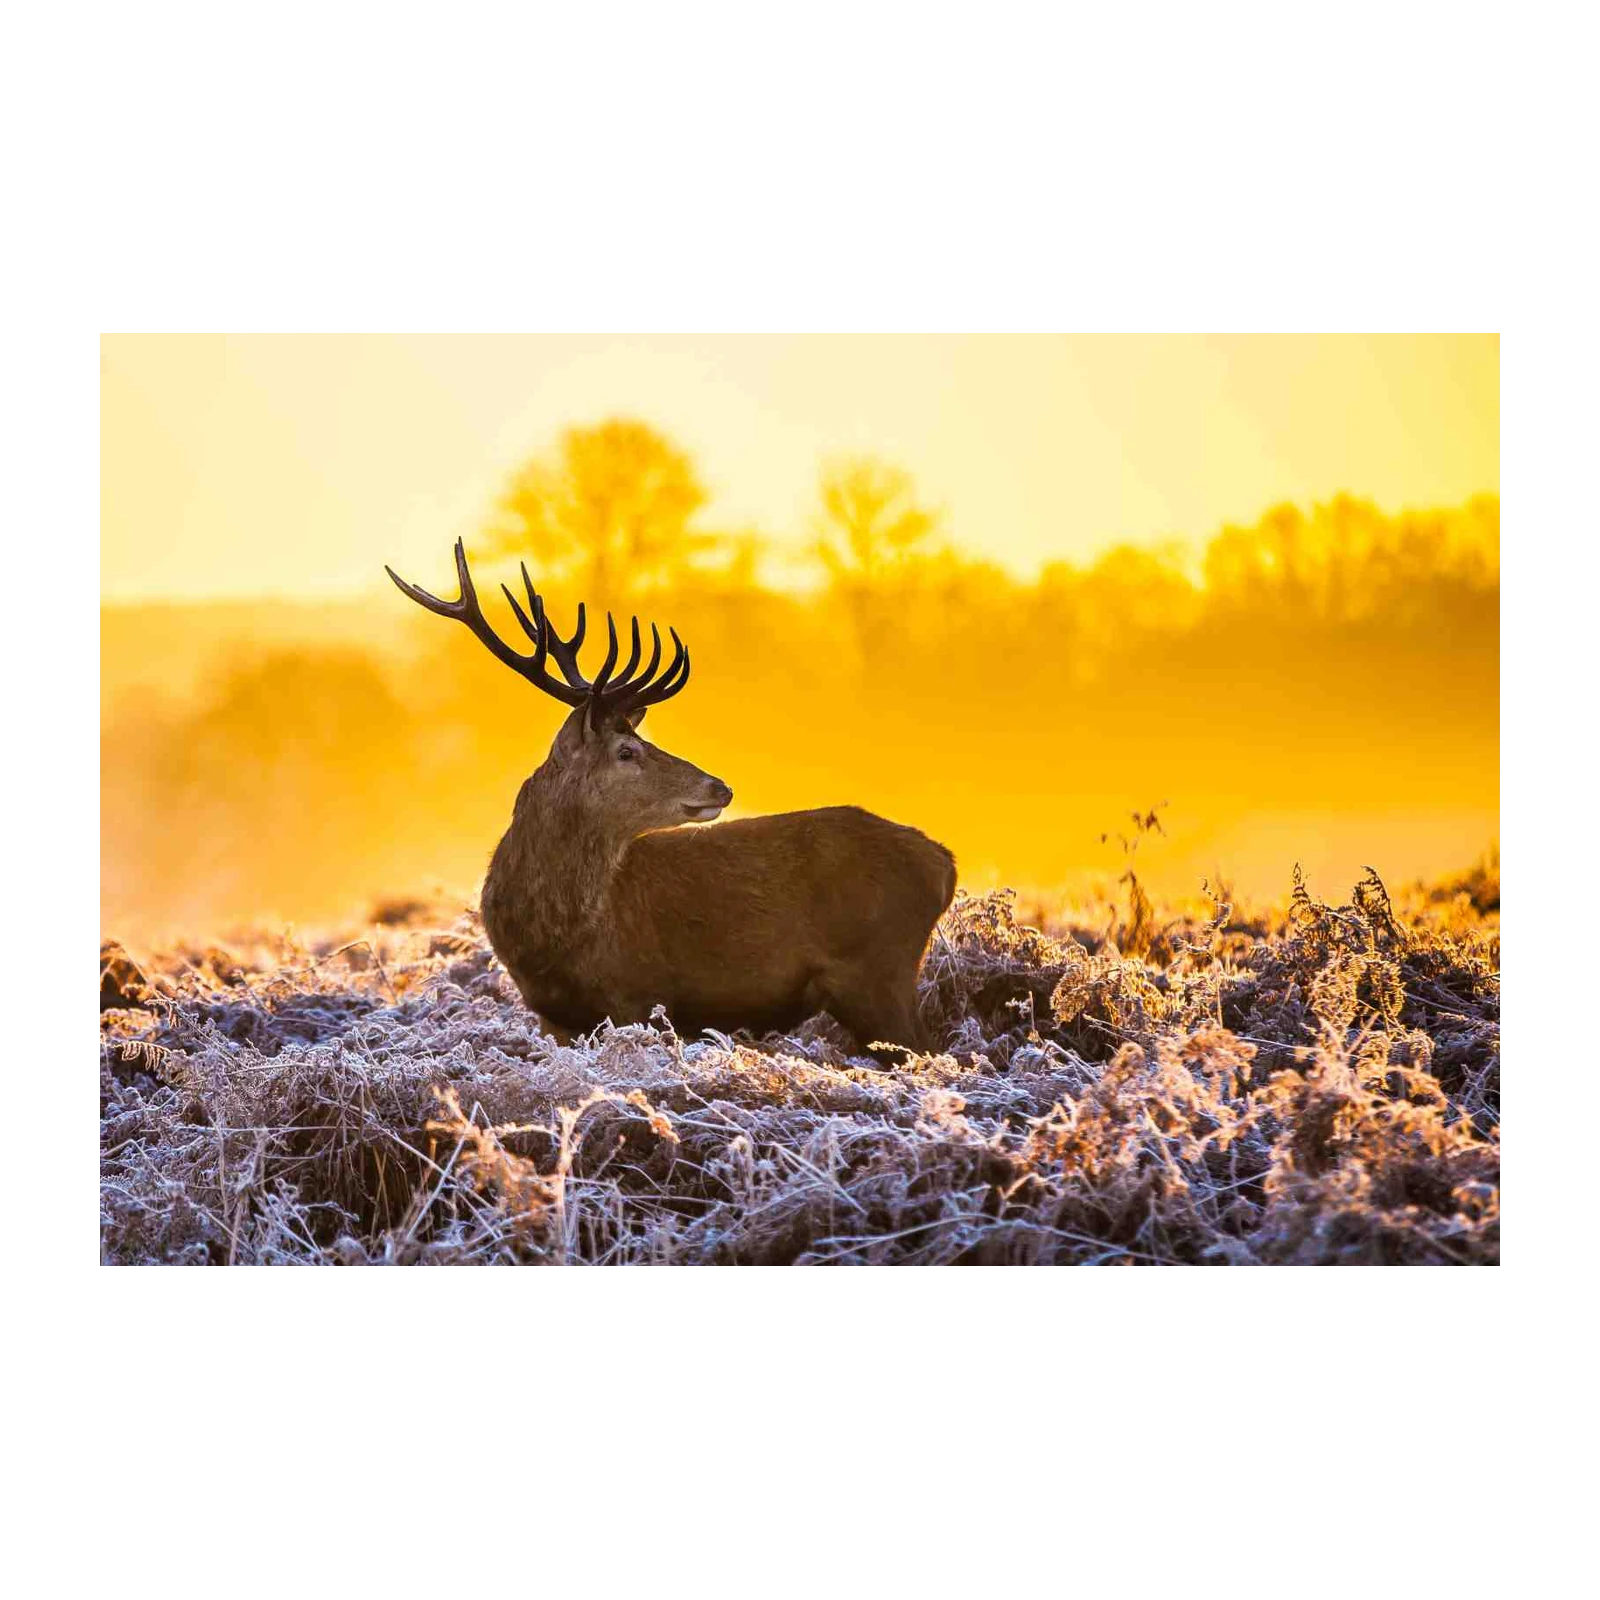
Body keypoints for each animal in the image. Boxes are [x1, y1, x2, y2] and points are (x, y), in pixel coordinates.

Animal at [386, 541, 957, 1063]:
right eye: (627, 751)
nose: (720, 786)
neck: (552, 939)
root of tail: (943, 863)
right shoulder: (554, 1016)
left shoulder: (638, 998)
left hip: (878, 972)